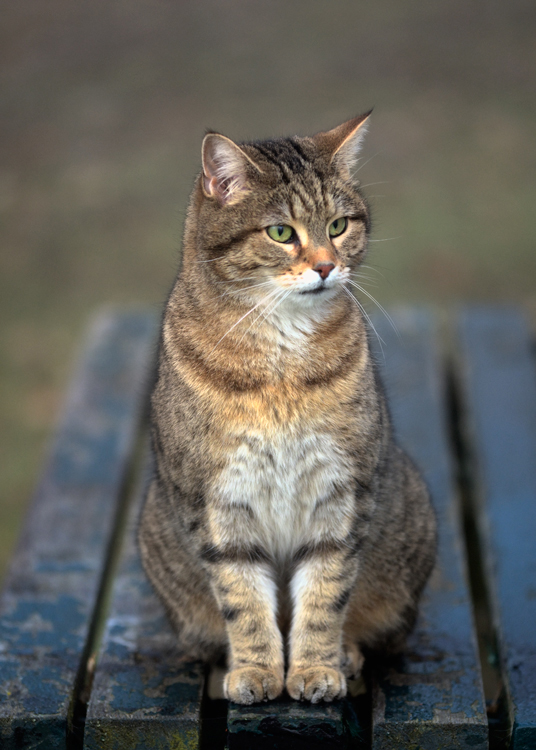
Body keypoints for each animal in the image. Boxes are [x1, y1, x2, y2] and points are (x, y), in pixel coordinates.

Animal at [138, 111, 436, 704]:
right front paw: (256, 670)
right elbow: (244, 602)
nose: (325, 266)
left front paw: (315, 667)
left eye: (339, 225)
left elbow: (324, 596)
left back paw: (346, 654)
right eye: (281, 233)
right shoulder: (216, 502)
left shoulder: (342, 493)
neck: (281, 364)